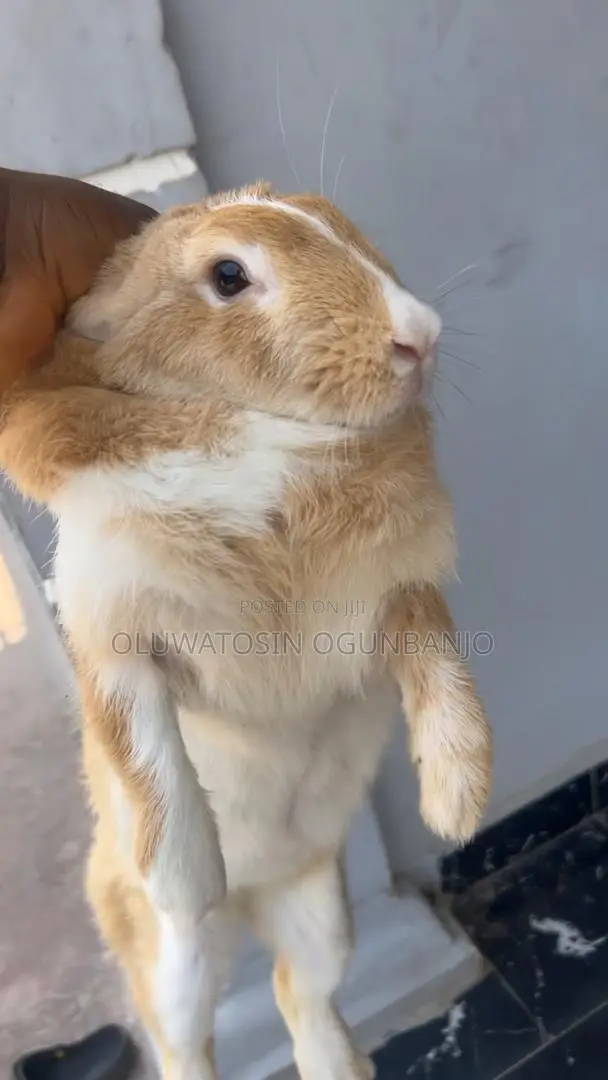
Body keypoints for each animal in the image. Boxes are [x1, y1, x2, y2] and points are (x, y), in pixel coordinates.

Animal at [0, 181, 492, 1080]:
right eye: (228, 276)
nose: (420, 334)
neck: (265, 440)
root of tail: (259, 896)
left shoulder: (398, 600)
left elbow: (441, 670)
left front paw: (457, 800)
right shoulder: (120, 643)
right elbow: (145, 754)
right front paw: (188, 881)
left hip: (323, 909)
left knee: (300, 994)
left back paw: (342, 1065)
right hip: (174, 971)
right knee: (183, 1038)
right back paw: (207, 908)